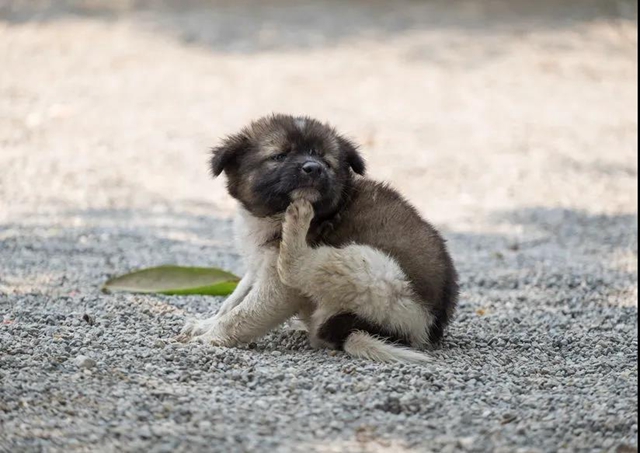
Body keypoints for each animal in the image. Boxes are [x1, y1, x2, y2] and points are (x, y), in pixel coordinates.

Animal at [178, 115, 458, 362]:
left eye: (326, 160)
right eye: (279, 156)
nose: (313, 168)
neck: (271, 216)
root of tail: (420, 329)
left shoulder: (279, 287)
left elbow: (243, 314)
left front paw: (210, 337)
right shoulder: (258, 263)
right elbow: (234, 299)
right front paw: (206, 324)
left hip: (374, 270)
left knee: (297, 268)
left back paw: (297, 222)